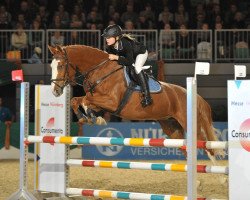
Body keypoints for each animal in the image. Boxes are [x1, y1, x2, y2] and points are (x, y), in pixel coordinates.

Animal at [48, 45, 223, 158]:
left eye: (61, 65)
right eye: (51, 66)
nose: (55, 91)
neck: (101, 71)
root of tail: (192, 94)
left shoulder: (111, 102)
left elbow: (85, 100)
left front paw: (94, 118)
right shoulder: (100, 102)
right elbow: (76, 101)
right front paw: (86, 118)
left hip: (189, 123)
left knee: (208, 147)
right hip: (170, 126)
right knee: (185, 147)